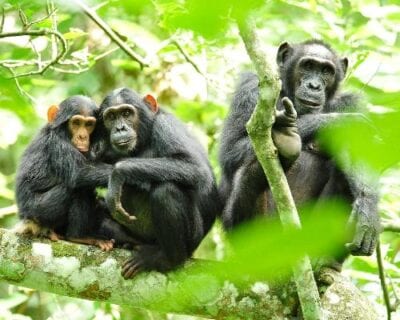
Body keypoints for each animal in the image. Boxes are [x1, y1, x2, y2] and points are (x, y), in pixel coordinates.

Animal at [15, 95, 136, 250]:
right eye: (76, 123)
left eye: (89, 124)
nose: (82, 137)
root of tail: (26, 221)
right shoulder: (57, 142)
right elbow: (79, 172)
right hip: (38, 212)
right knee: (78, 187)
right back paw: (79, 237)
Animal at [95, 87, 220, 278]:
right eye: (111, 117)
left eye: (126, 113)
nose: (120, 128)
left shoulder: (166, 127)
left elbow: (196, 167)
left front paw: (118, 173)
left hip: (192, 239)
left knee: (166, 191)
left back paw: (166, 259)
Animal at [220, 39, 380, 260]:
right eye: (308, 66)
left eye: (326, 71)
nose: (314, 85)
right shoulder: (250, 88)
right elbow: (231, 149)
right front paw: (339, 122)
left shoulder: (351, 102)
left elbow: (359, 151)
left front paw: (368, 210)